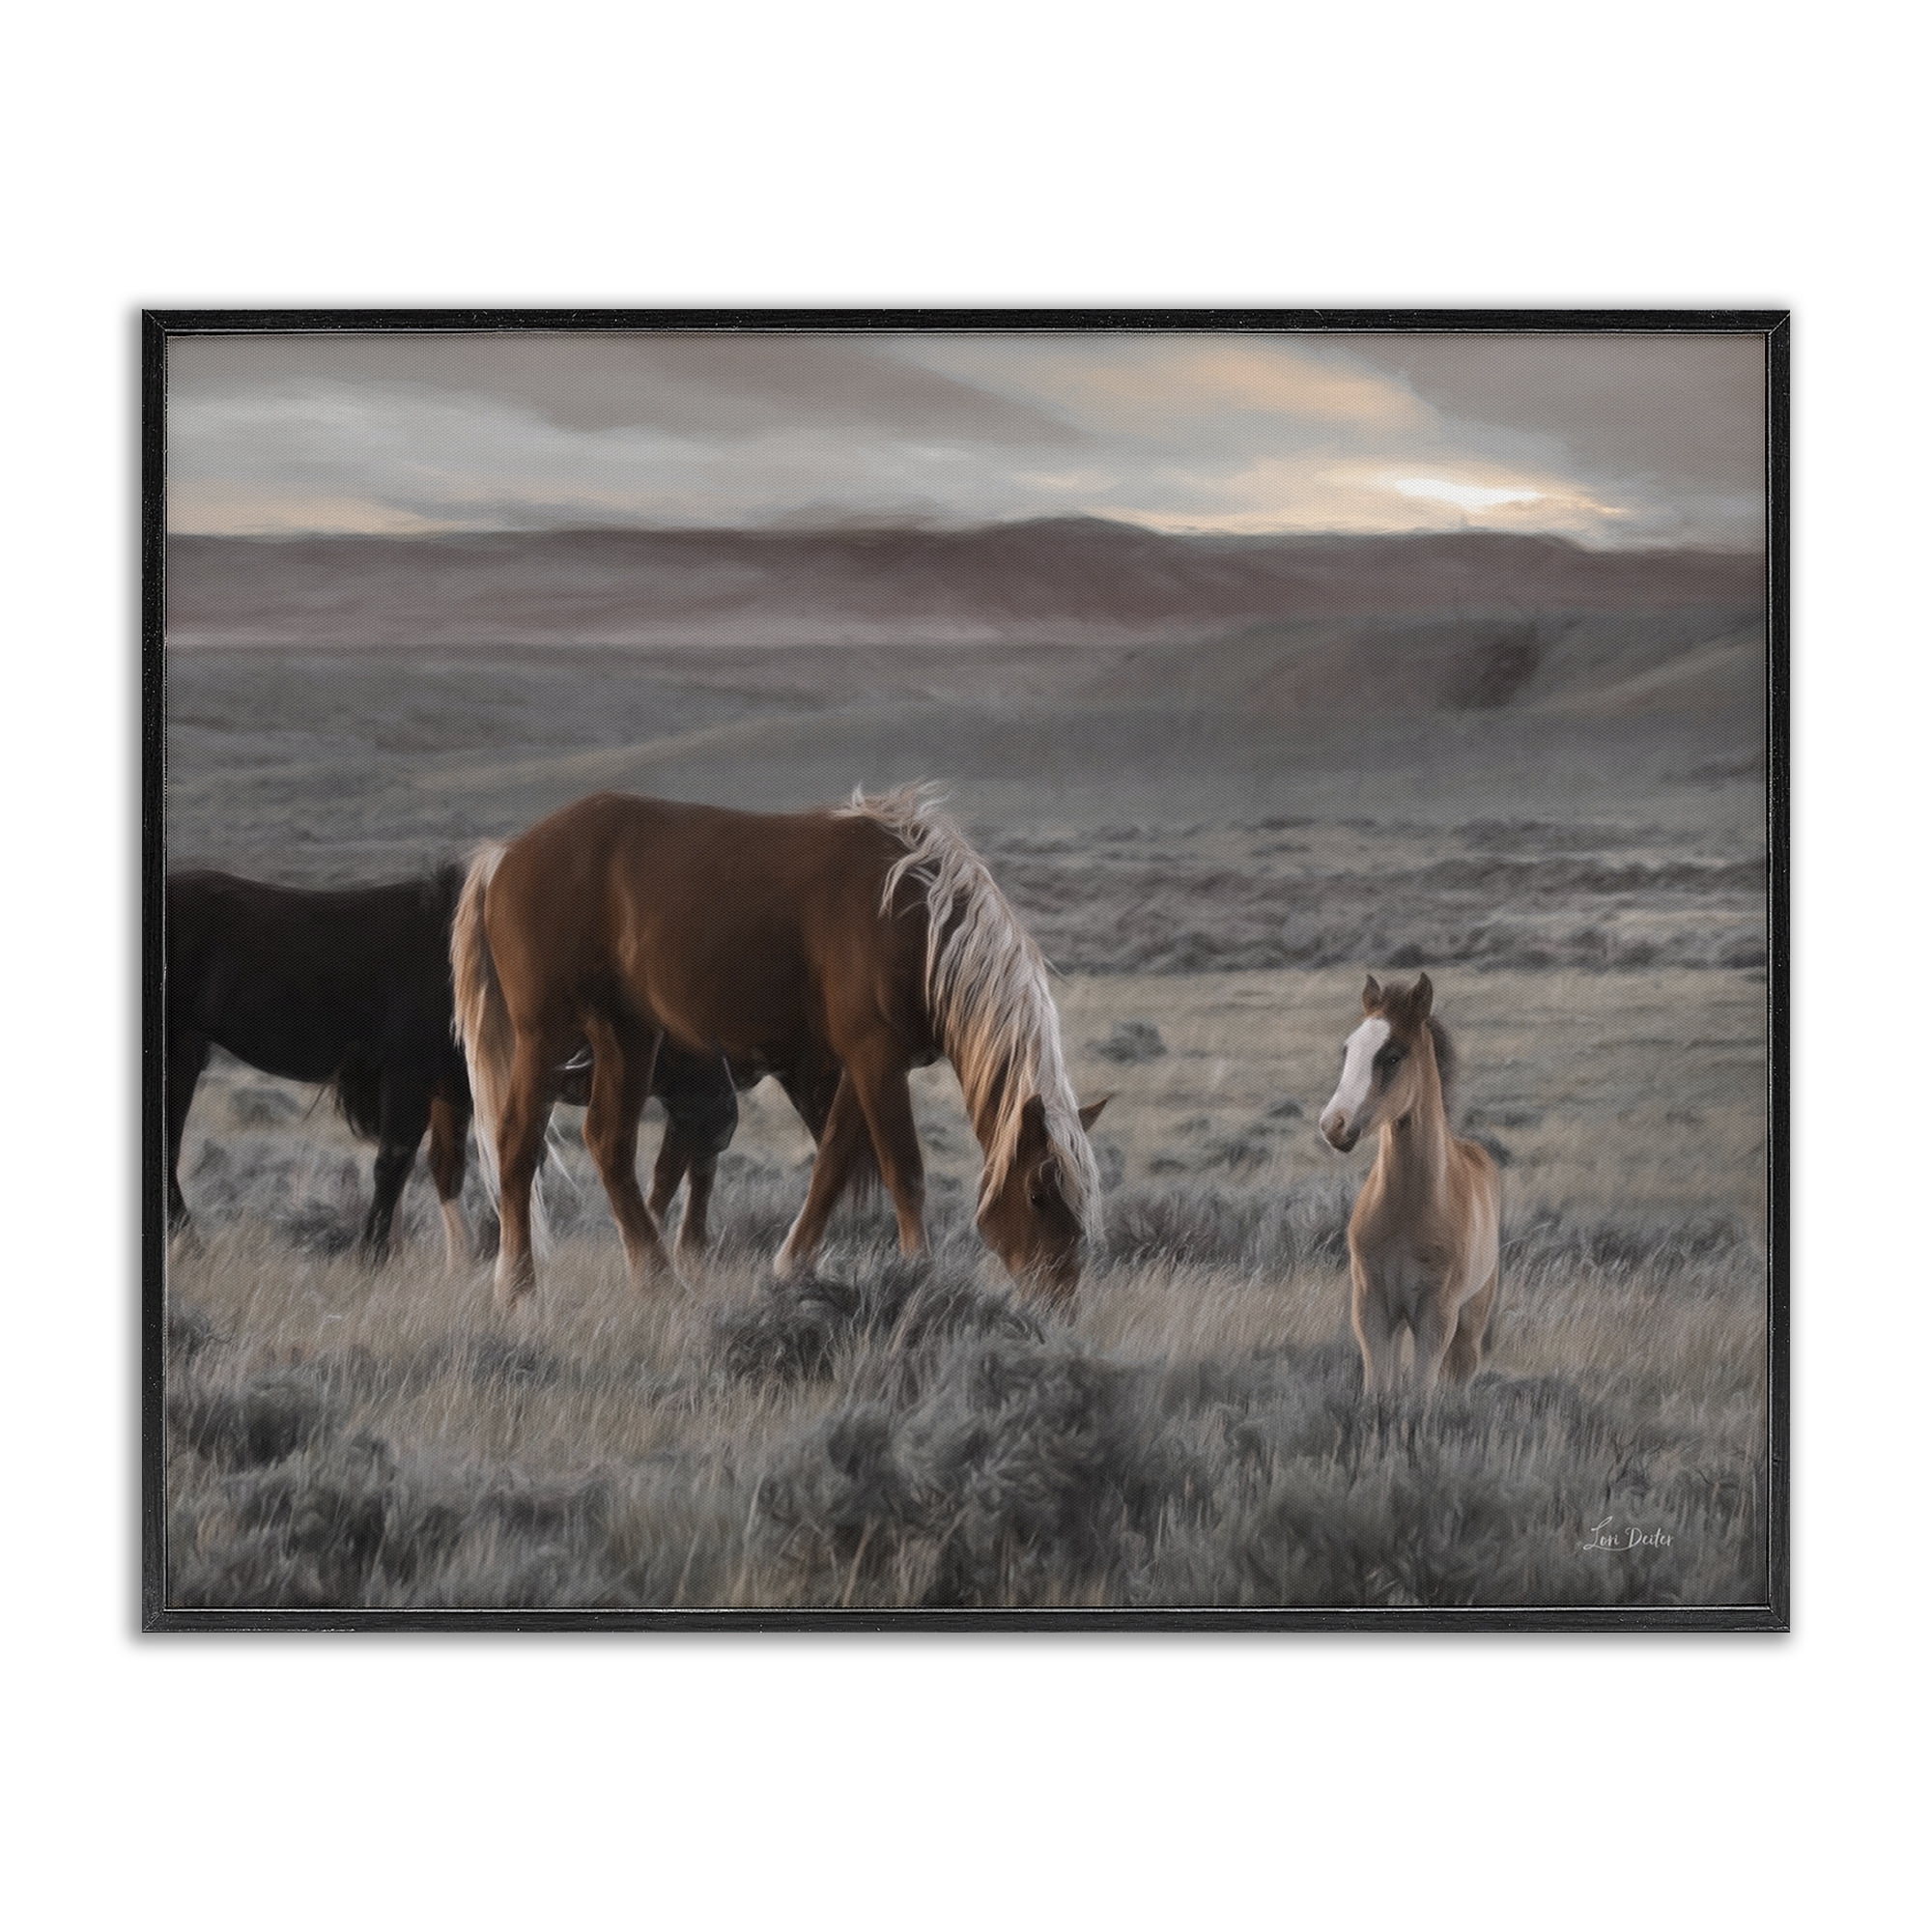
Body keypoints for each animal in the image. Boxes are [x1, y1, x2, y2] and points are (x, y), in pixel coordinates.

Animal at [166, 867, 744, 1267]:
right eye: (668, 1029)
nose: (725, 1118)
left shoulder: (452, 1088)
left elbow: (451, 1167)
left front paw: (465, 1257)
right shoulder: (409, 1076)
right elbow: (395, 1162)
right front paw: (375, 1254)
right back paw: (188, 1243)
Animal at [451, 785, 1109, 1307]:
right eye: (1038, 1194)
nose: (1060, 1302)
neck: (916, 919)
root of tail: (507, 856)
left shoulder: (864, 1064)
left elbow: (833, 1164)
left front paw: (793, 1266)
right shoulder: (876, 1058)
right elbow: (904, 1170)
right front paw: (919, 1273)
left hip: (629, 1034)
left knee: (609, 1146)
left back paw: (658, 1279)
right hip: (544, 1036)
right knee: (517, 1146)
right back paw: (518, 1287)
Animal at [1318, 972, 1501, 1395]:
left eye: (1393, 1056)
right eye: (1348, 1049)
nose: (1333, 1125)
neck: (1407, 1208)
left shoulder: (1437, 1316)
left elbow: (1421, 1394)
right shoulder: (1372, 1306)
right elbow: (1378, 1389)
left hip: (1472, 1315)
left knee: (1462, 1371)